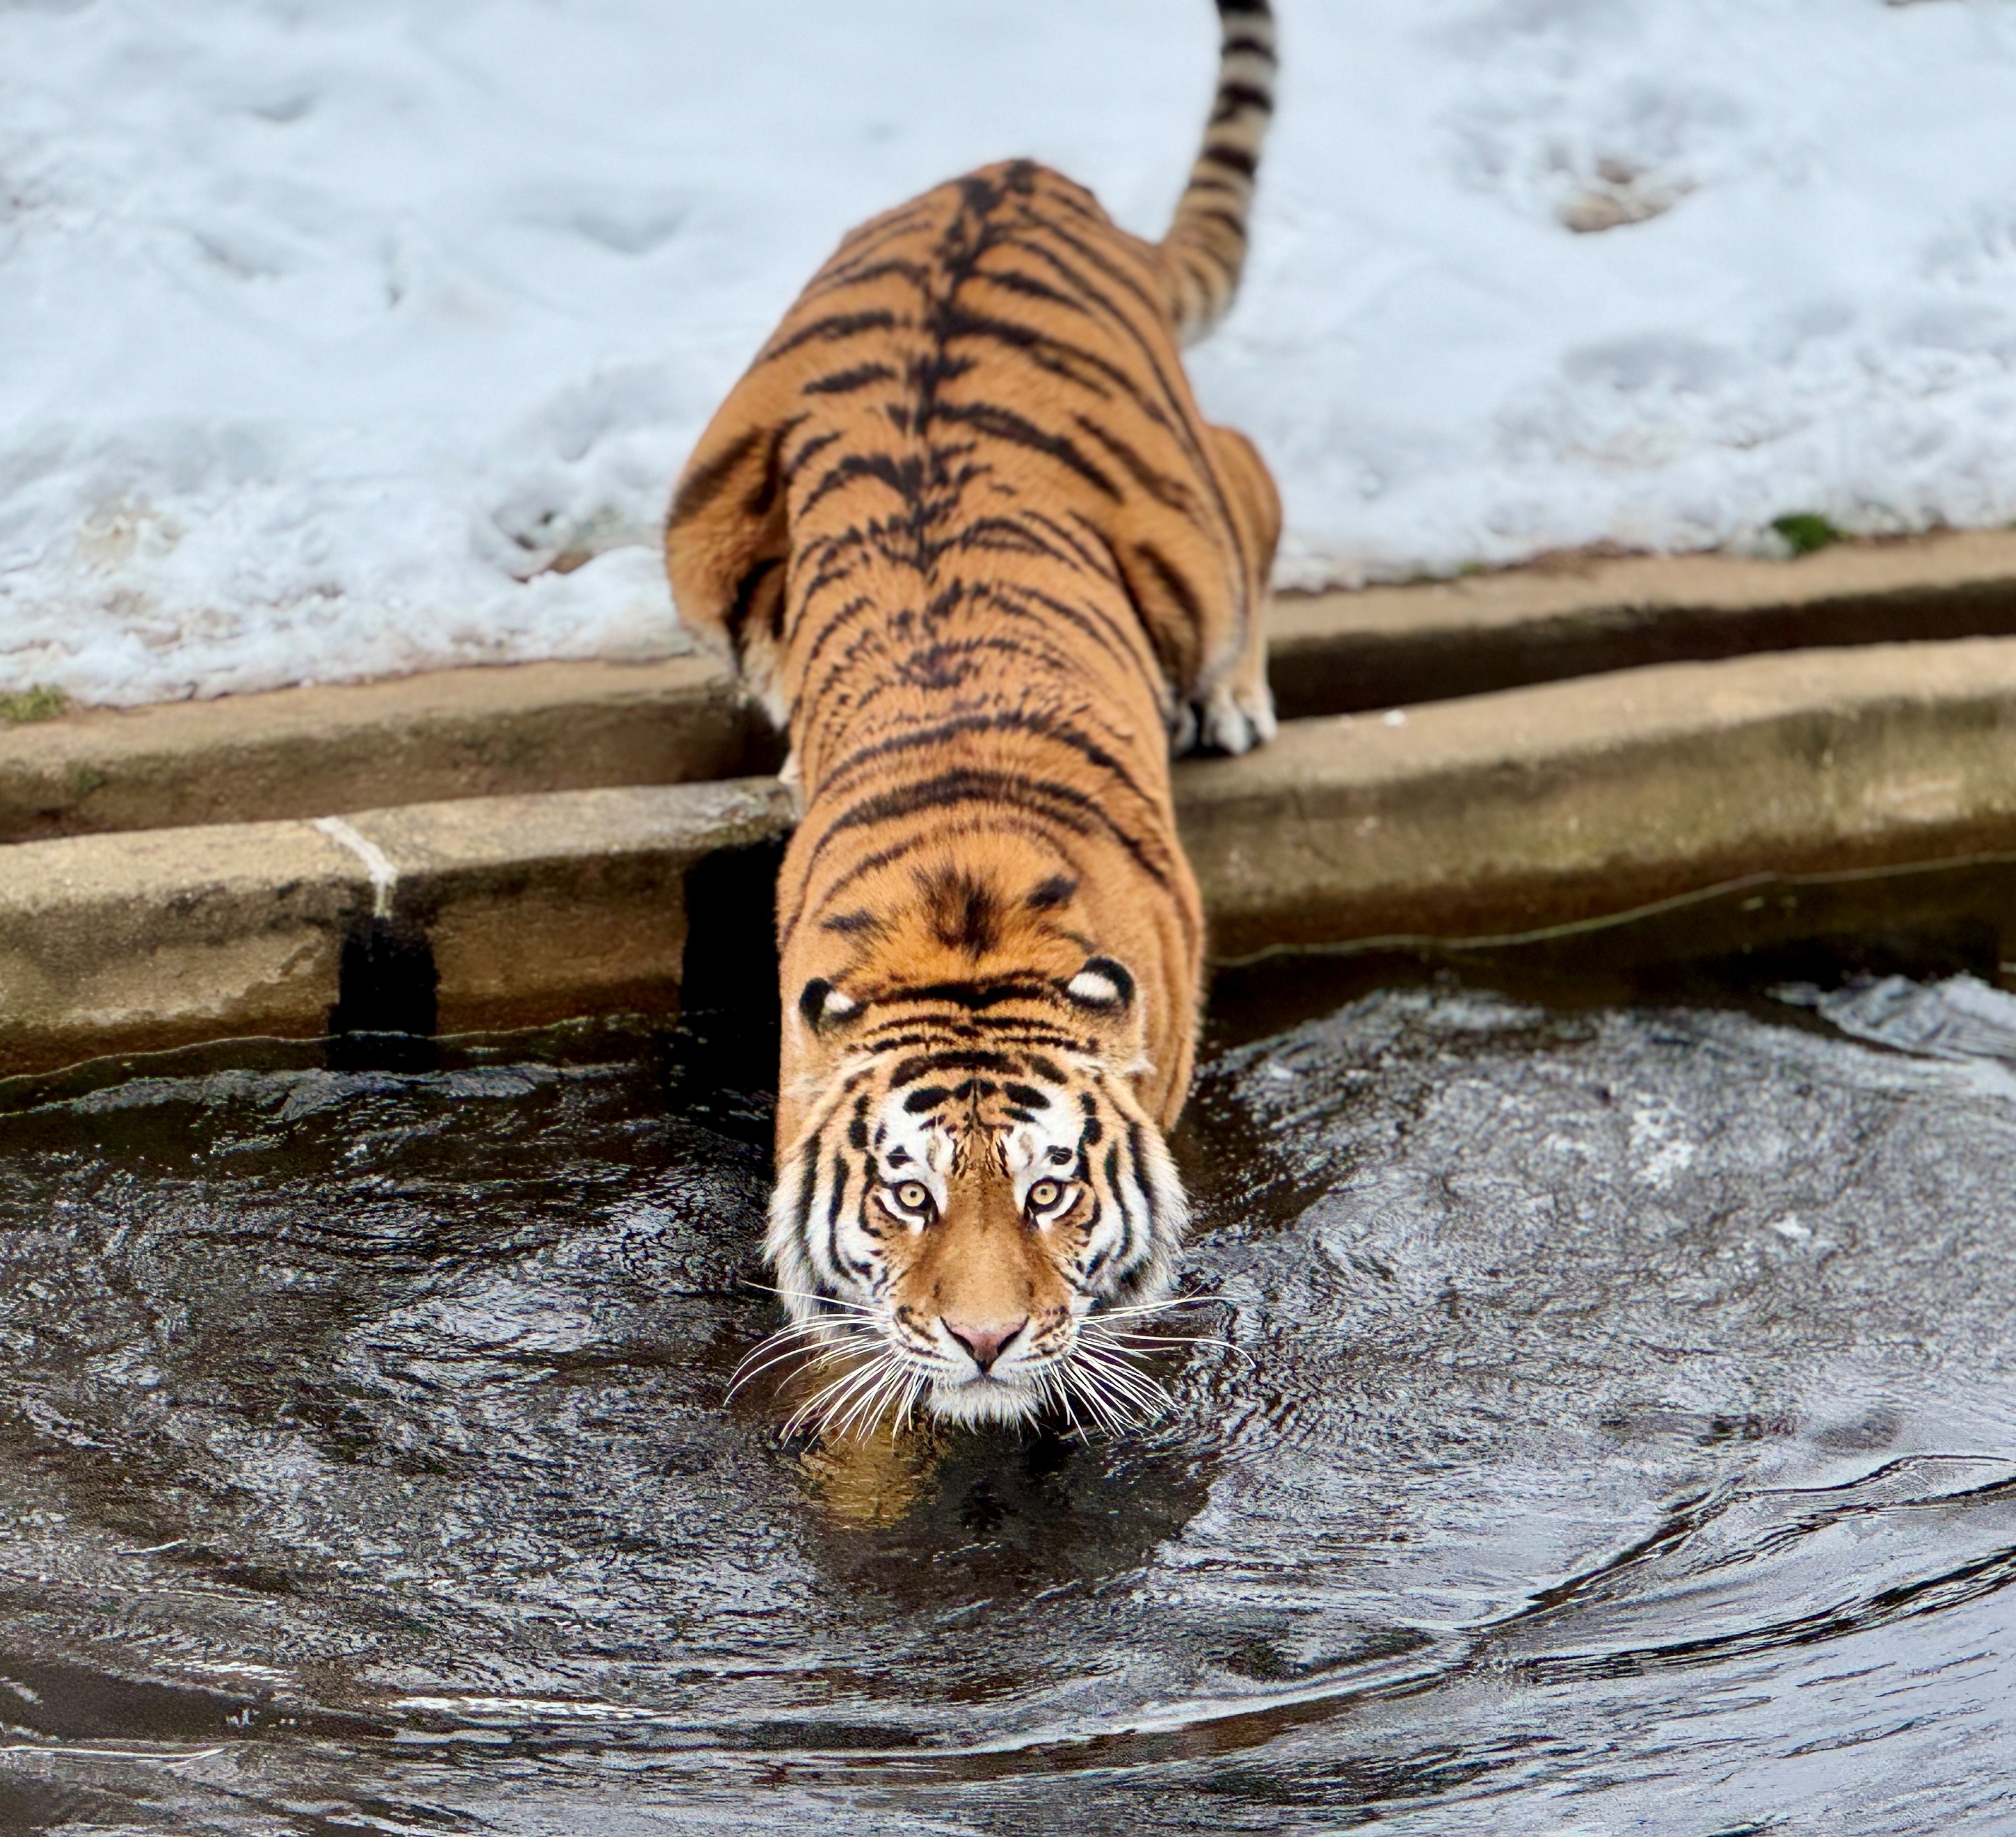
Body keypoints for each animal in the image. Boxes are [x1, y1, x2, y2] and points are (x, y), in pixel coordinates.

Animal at [669, 0, 1282, 1436]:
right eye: (907, 1196)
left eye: (1051, 1191)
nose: (987, 1338)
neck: (970, 943)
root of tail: (1013, 176)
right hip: (700, 526)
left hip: (1193, 550)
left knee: (1251, 483)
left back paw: (1230, 699)